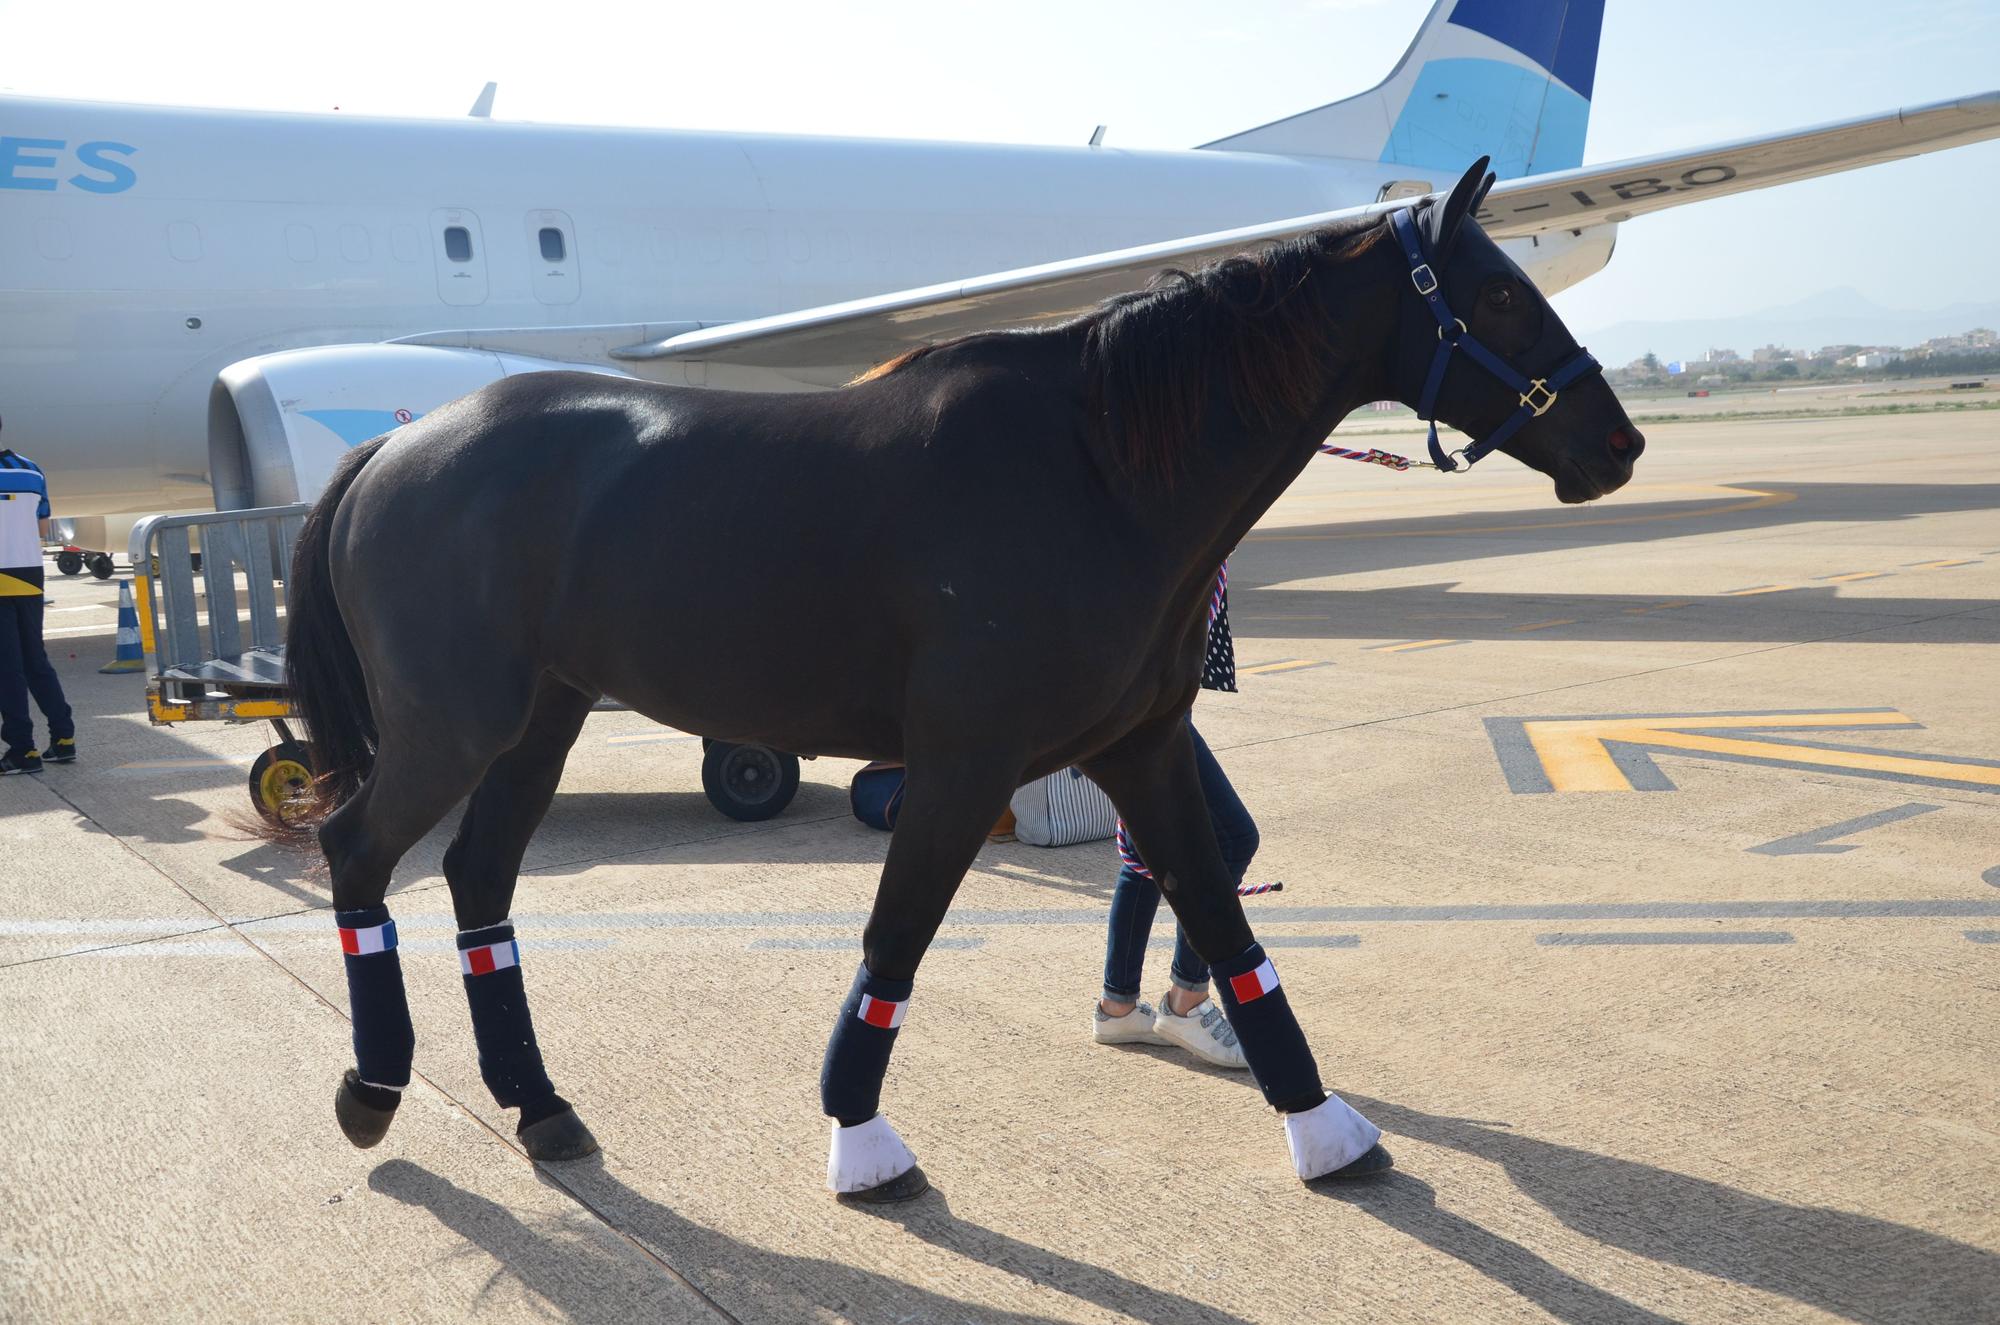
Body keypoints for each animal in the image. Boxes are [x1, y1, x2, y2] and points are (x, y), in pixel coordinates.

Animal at [290, 161, 1648, 1200]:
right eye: (1494, 292)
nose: (1617, 442)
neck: (1092, 466)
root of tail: (390, 448)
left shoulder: (1142, 748)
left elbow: (1223, 919)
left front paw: (1320, 1127)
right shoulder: (959, 762)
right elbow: (896, 940)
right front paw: (860, 1138)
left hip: (540, 722)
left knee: (478, 879)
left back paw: (539, 1106)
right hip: (454, 729)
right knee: (359, 852)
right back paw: (371, 1086)